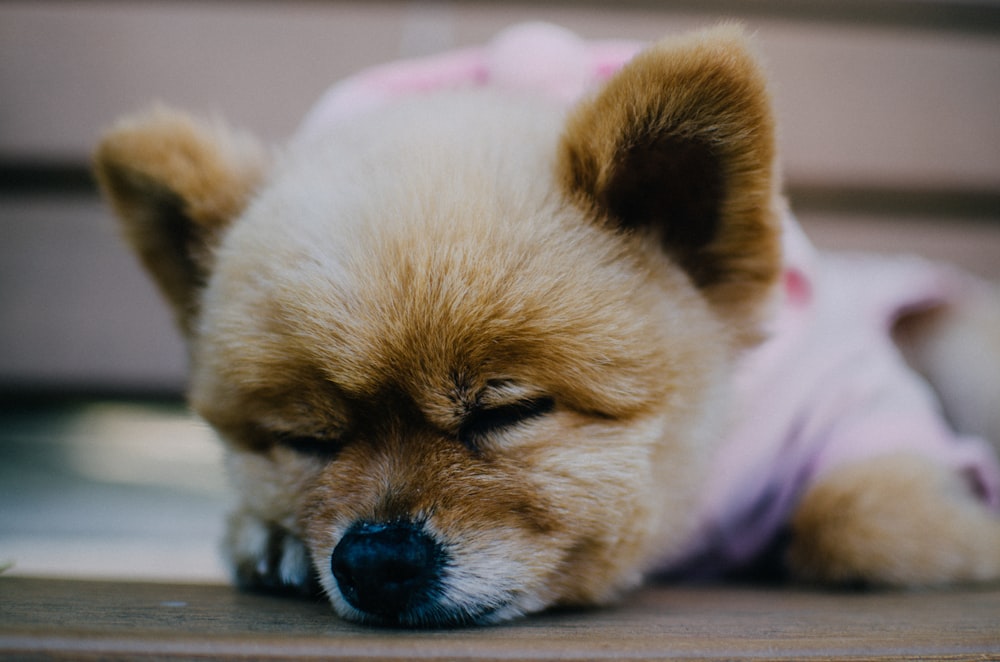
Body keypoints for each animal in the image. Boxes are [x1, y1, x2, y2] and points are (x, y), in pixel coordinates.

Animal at [95, 24, 1000, 628]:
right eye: (308, 440)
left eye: (510, 412)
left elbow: (873, 522)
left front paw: (969, 530)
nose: (375, 557)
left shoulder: (846, 397)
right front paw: (268, 537)